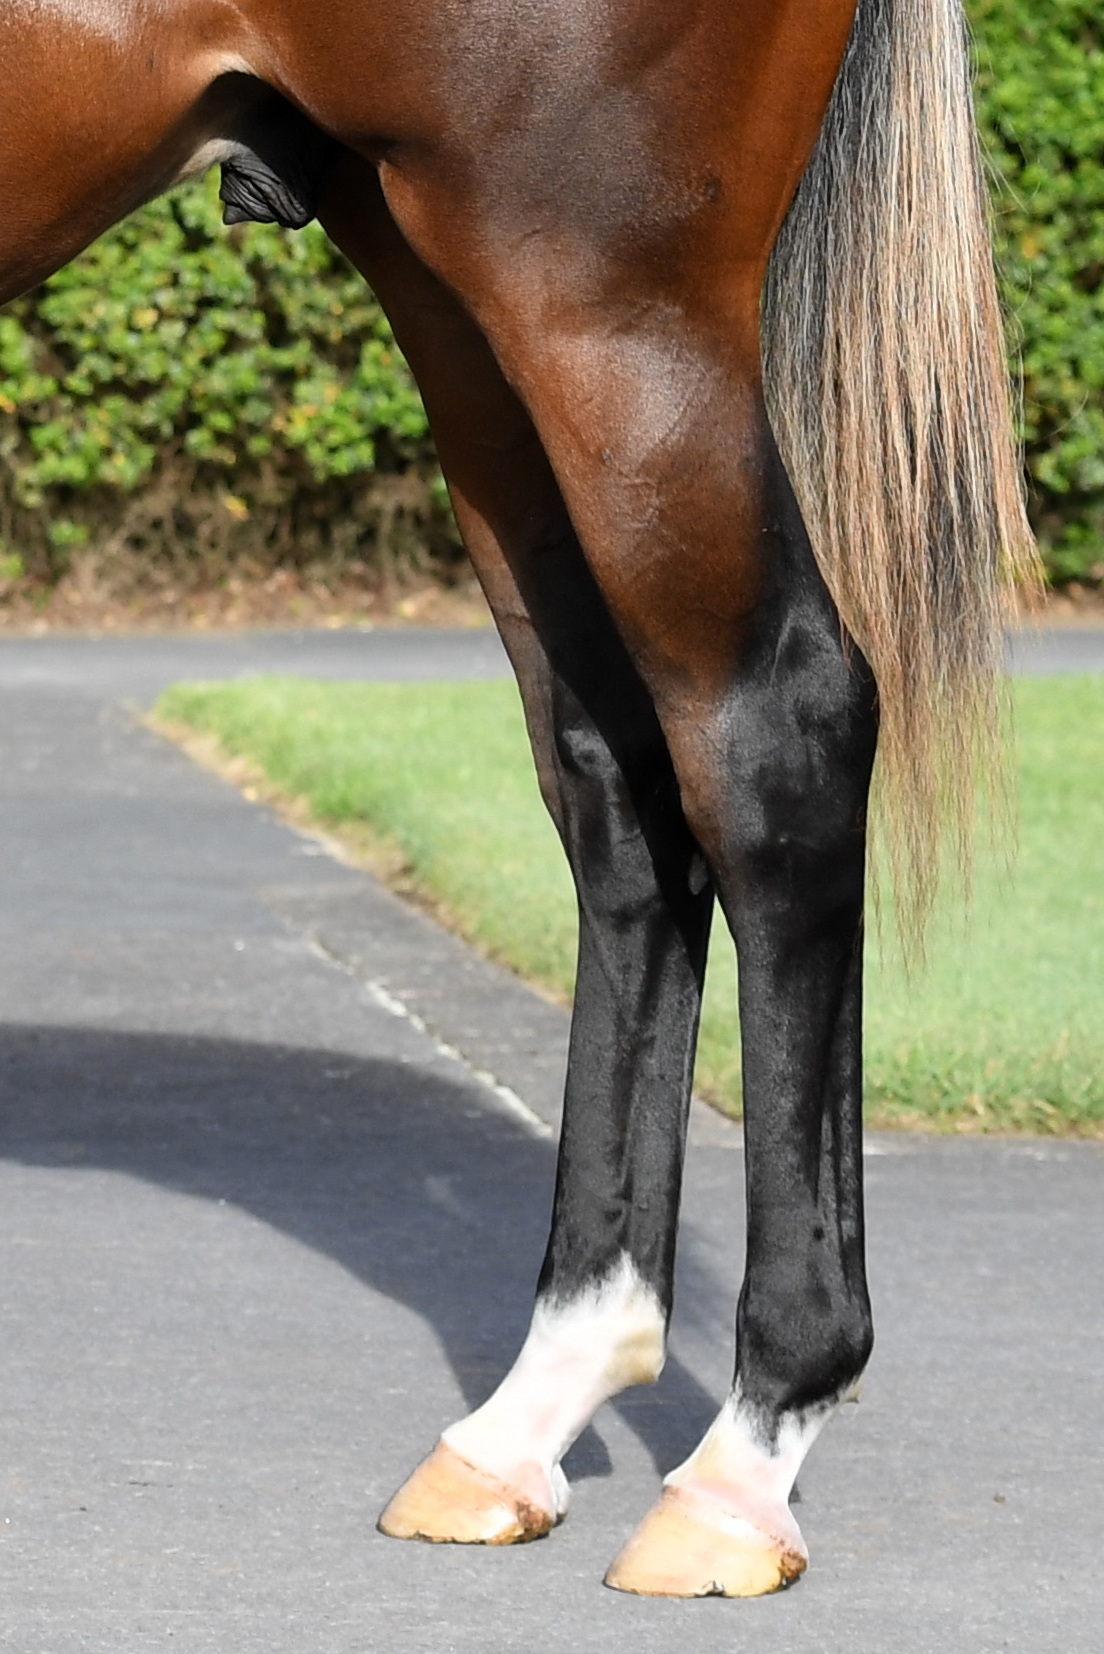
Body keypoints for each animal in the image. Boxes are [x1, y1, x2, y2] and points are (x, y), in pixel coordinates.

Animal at [1, 0, 1036, 1600]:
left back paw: (745, 1458)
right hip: (462, 307)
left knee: (774, 735)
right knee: (622, 790)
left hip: (602, 307)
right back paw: (530, 1414)